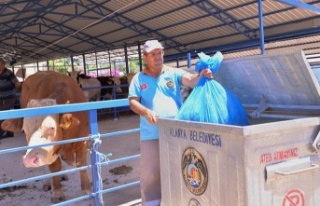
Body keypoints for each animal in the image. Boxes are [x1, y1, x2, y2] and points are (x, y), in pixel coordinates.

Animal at [1, 71, 91, 203]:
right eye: (24, 130)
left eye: (52, 128)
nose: (29, 160)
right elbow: (54, 167)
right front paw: (57, 192)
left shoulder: (83, 140)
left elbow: (81, 163)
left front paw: (87, 189)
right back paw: (48, 182)